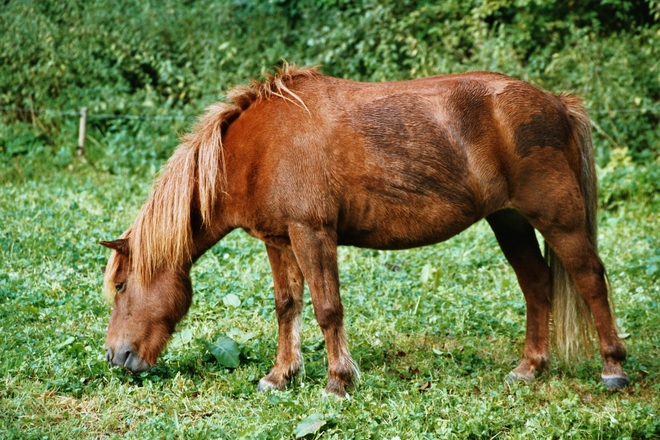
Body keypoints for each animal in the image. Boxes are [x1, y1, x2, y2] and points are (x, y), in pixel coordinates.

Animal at [99, 63, 628, 398]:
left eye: (121, 285)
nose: (116, 357)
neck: (257, 149)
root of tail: (557, 102)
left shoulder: (312, 233)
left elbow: (328, 309)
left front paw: (338, 381)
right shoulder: (279, 241)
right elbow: (287, 307)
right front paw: (280, 376)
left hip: (558, 219)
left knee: (589, 280)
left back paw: (613, 368)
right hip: (510, 221)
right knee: (537, 285)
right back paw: (528, 368)